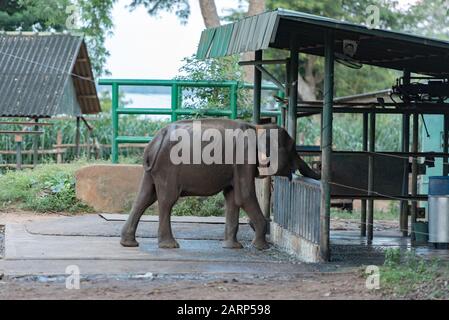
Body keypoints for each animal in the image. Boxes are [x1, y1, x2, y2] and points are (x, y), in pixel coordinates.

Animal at [119, 117, 318, 250]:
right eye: (292, 149)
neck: (258, 127)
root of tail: (154, 142)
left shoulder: (237, 166)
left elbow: (232, 198)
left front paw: (233, 247)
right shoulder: (244, 159)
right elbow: (244, 196)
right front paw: (262, 247)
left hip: (154, 170)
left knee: (145, 197)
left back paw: (129, 243)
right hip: (168, 167)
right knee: (166, 201)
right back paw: (169, 245)